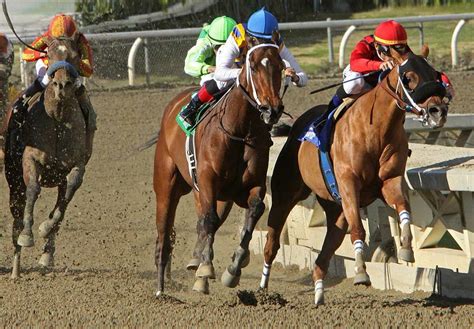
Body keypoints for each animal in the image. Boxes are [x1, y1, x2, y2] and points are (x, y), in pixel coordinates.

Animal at [4, 39, 88, 278]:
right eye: (48, 54)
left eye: (75, 55)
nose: (62, 85)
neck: (57, 119)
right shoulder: (30, 160)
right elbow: (34, 189)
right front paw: (27, 234)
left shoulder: (76, 164)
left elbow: (67, 196)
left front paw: (45, 228)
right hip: (14, 181)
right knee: (17, 214)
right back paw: (15, 268)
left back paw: (46, 255)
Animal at [153, 37, 286, 294]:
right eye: (253, 66)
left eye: (282, 66)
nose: (272, 109)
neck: (240, 131)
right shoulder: (207, 181)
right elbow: (210, 220)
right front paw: (206, 268)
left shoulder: (250, 186)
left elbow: (254, 210)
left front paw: (234, 267)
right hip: (167, 185)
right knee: (165, 232)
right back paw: (162, 288)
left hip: (216, 196)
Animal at [260, 45, 448, 302]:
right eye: (409, 77)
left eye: (434, 74)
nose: (438, 111)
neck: (375, 130)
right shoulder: (349, 184)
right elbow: (358, 227)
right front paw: (361, 273)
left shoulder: (389, 180)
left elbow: (403, 209)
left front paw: (406, 248)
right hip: (285, 195)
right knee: (272, 242)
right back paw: (260, 288)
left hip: (335, 210)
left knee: (323, 255)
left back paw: (319, 294)